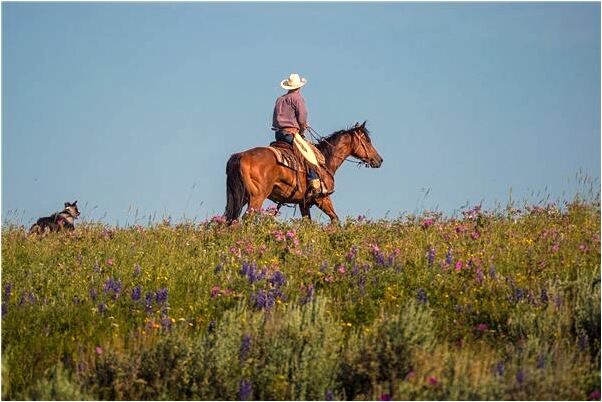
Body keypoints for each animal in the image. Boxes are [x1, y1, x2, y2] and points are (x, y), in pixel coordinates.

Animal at [223, 121, 382, 225]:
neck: (326, 160)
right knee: (245, 219)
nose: (379, 160)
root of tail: (240, 156)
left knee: (228, 219)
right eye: (367, 141)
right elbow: (335, 218)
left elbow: (308, 224)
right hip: (257, 197)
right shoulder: (322, 198)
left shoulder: (303, 203)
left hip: (240, 197)